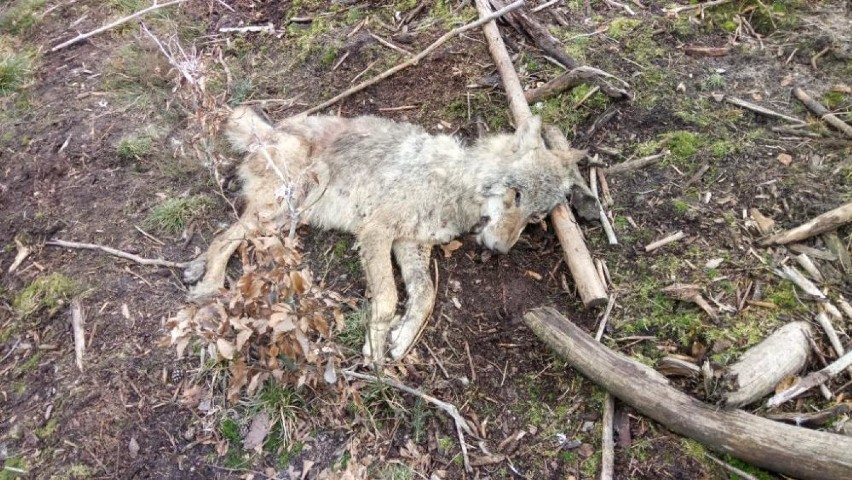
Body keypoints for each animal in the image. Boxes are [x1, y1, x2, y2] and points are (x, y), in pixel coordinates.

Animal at [189, 108, 584, 364]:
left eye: (535, 217)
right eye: (516, 196)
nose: (500, 249)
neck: (455, 183)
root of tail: (266, 135)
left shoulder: (411, 243)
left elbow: (425, 293)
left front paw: (402, 340)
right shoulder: (377, 232)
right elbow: (389, 297)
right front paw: (376, 346)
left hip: (282, 217)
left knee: (227, 237)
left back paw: (194, 269)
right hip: (284, 205)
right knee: (224, 239)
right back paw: (209, 288)